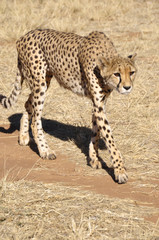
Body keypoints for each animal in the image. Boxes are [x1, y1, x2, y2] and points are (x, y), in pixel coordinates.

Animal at [0, 30, 137, 184]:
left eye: (131, 72)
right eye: (117, 74)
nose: (127, 87)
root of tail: (24, 36)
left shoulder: (98, 103)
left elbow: (96, 132)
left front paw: (94, 159)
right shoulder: (98, 104)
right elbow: (109, 139)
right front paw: (120, 171)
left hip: (45, 80)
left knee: (27, 104)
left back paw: (23, 136)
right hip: (39, 82)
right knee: (35, 120)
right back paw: (45, 151)